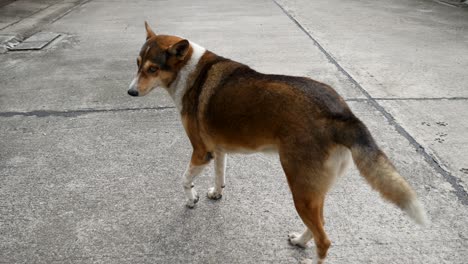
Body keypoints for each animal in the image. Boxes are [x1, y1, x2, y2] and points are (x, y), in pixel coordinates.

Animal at [128, 22, 428, 264]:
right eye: (137, 63)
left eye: (153, 69)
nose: (130, 92)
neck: (189, 71)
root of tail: (342, 115)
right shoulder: (218, 150)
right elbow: (220, 174)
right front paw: (215, 192)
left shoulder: (201, 152)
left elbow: (184, 179)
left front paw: (192, 198)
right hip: (312, 191)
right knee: (319, 224)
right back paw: (299, 241)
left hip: (300, 188)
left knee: (324, 239)